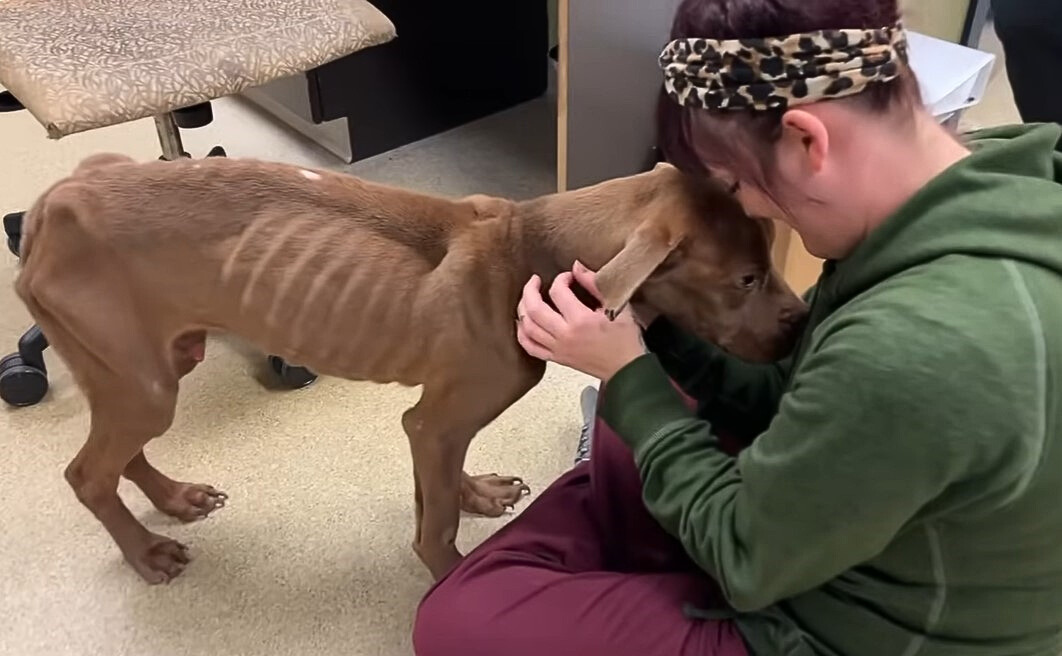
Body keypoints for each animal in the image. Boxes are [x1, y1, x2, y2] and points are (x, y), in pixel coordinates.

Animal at [12, 154, 802, 581]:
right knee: (88, 474)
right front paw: (452, 575)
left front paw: (478, 491)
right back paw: (147, 553)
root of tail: (56, 198)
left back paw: (174, 499)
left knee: (120, 453)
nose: (800, 326)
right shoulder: (439, 417)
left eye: (770, 260)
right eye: (747, 279)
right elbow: (437, 526)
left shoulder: (435, 419)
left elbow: (443, 483)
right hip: (138, 376)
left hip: (145, 362)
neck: (532, 246)